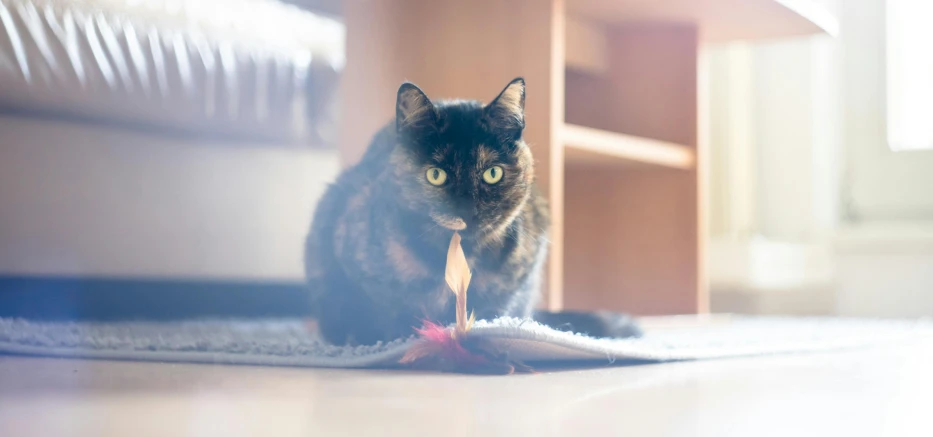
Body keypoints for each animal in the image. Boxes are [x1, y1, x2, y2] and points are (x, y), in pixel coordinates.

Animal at [306, 77, 640, 344]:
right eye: (436, 175)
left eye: (492, 173)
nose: (466, 209)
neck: (462, 252)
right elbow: (383, 306)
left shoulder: (523, 268)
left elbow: (495, 309)